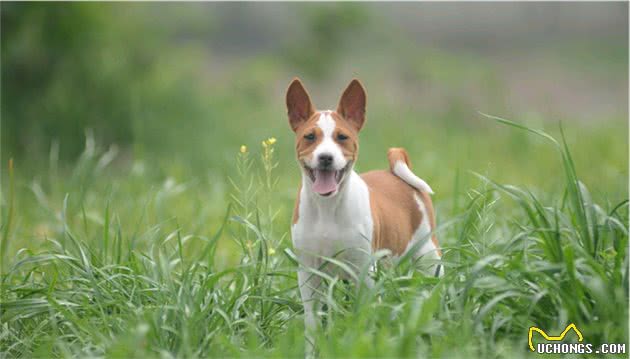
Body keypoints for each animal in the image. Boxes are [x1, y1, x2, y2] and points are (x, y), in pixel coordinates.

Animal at [288, 78, 444, 348]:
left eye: (342, 137)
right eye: (309, 137)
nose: (326, 157)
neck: (328, 209)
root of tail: (394, 172)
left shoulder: (364, 271)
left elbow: (367, 314)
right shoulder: (308, 273)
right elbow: (312, 324)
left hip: (428, 256)